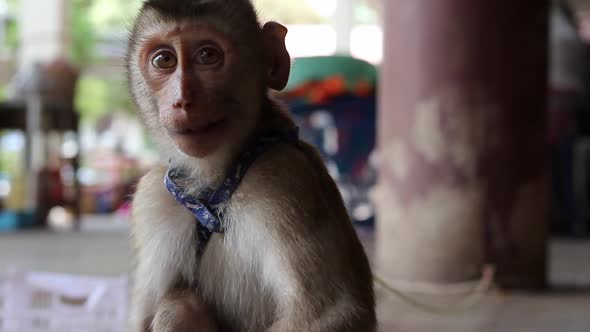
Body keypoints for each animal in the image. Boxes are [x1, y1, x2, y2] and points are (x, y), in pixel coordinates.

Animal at [126, 1, 376, 330]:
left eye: (207, 55)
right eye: (163, 59)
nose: (182, 101)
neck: (214, 183)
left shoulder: (280, 179)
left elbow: (334, 311)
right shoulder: (153, 196)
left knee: (178, 308)